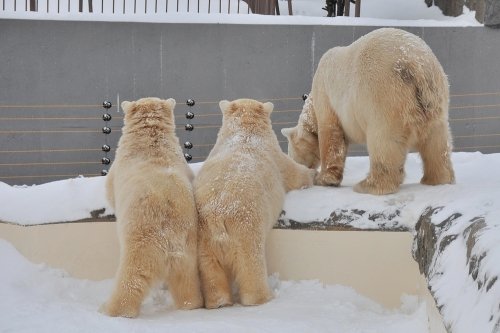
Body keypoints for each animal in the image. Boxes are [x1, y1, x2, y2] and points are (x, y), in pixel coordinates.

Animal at [100, 96, 202, 316]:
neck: (151, 138)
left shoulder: (120, 166)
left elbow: (110, 189)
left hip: (143, 243)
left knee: (132, 278)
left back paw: (111, 308)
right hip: (187, 250)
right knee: (186, 280)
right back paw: (191, 304)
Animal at [193, 98, 314, 308]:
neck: (245, 131)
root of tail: (218, 216)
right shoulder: (277, 159)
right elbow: (295, 175)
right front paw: (313, 174)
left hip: (203, 235)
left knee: (210, 267)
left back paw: (219, 302)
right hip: (245, 227)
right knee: (251, 263)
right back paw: (263, 298)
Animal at [284, 28, 456, 196]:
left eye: (291, 152)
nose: (299, 166)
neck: (311, 104)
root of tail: (416, 65)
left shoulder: (327, 98)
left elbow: (331, 136)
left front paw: (324, 179)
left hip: (383, 95)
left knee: (383, 141)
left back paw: (368, 185)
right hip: (436, 100)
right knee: (437, 143)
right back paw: (437, 179)